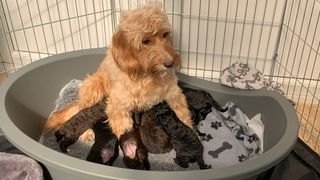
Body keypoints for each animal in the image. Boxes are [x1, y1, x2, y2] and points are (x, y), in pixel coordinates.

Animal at [42, 3, 192, 140]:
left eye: (165, 34)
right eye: (145, 41)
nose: (170, 63)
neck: (148, 75)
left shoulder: (174, 94)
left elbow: (183, 115)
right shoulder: (118, 106)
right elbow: (123, 130)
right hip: (92, 90)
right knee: (75, 111)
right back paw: (86, 133)